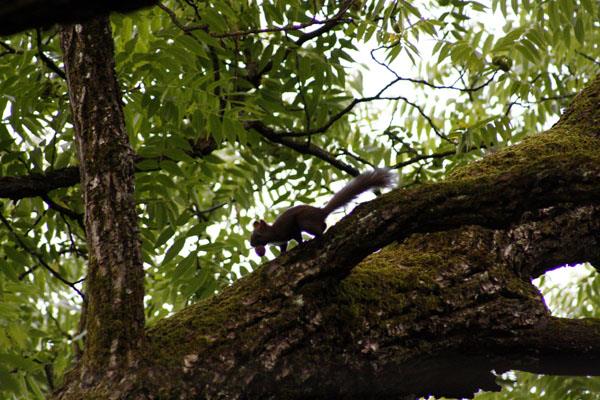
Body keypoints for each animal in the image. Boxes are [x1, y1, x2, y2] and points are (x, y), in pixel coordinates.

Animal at [248, 168, 394, 256]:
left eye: (258, 235)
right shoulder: (282, 241)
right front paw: (281, 254)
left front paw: (301, 244)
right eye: (251, 235)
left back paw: (317, 236)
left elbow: (297, 237)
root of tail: (321, 212)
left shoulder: (288, 230)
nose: (251, 244)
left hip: (304, 221)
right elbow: (283, 246)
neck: (272, 234)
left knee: (321, 227)